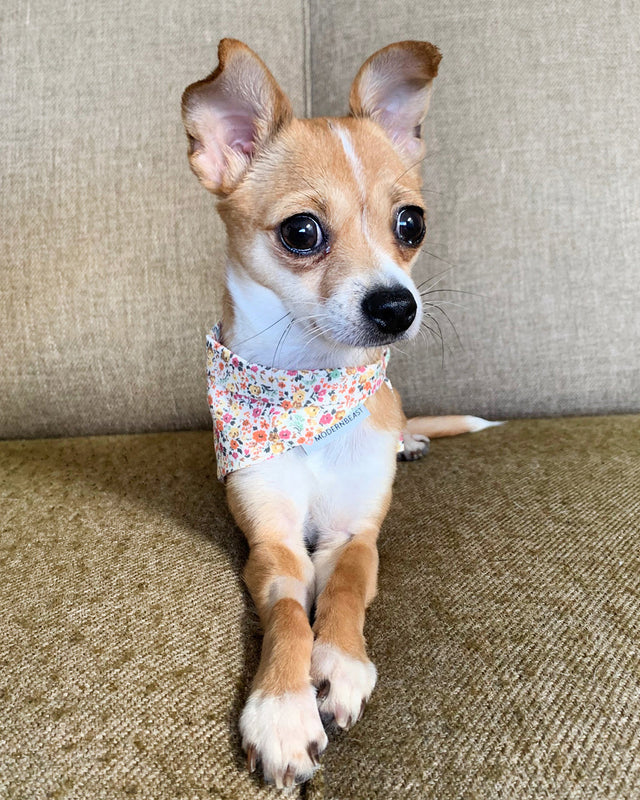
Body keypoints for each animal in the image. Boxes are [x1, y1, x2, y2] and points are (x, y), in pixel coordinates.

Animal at [180, 39, 496, 788]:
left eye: (411, 223)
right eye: (302, 232)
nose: (397, 306)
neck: (308, 387)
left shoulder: (355, 534)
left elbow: (347, 588)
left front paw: (339, 666)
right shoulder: (274, 546)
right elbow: (291, 617)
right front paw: (282, 708)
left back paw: (410, 442)